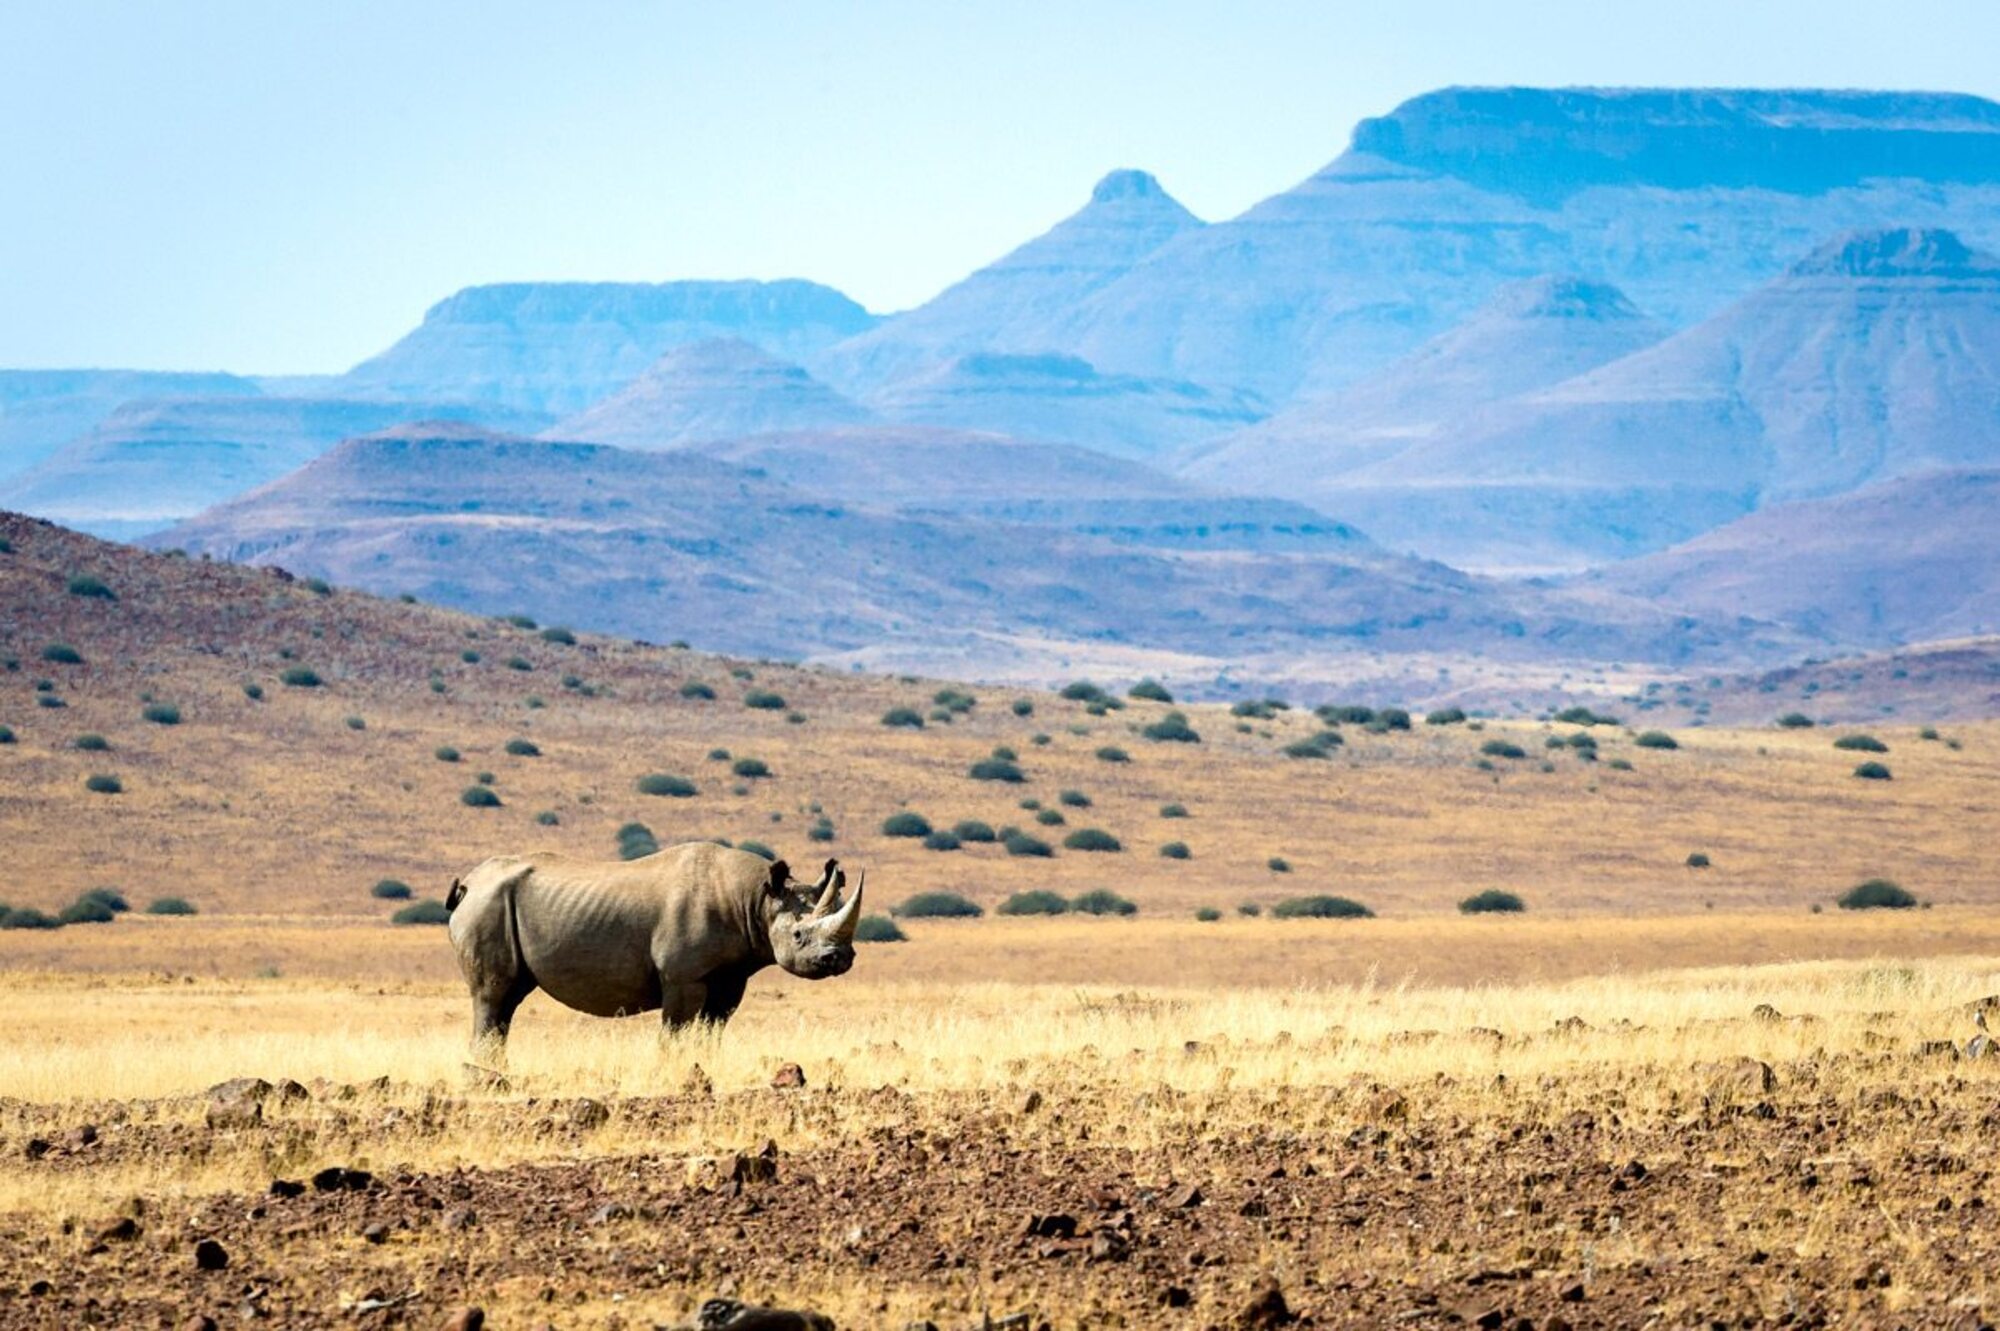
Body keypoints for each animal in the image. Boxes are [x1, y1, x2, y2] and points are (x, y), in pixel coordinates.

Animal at [445, 841, 863, 1051]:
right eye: (798, 936)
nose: (839, 959)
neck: (757, 900)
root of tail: (469, 884)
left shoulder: (731, 975)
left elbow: (711, 1032)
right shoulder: (681, 975)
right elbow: (675, 1032)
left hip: (496, 906)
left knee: (508, 1000)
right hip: (488, 905)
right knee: (493, 994)